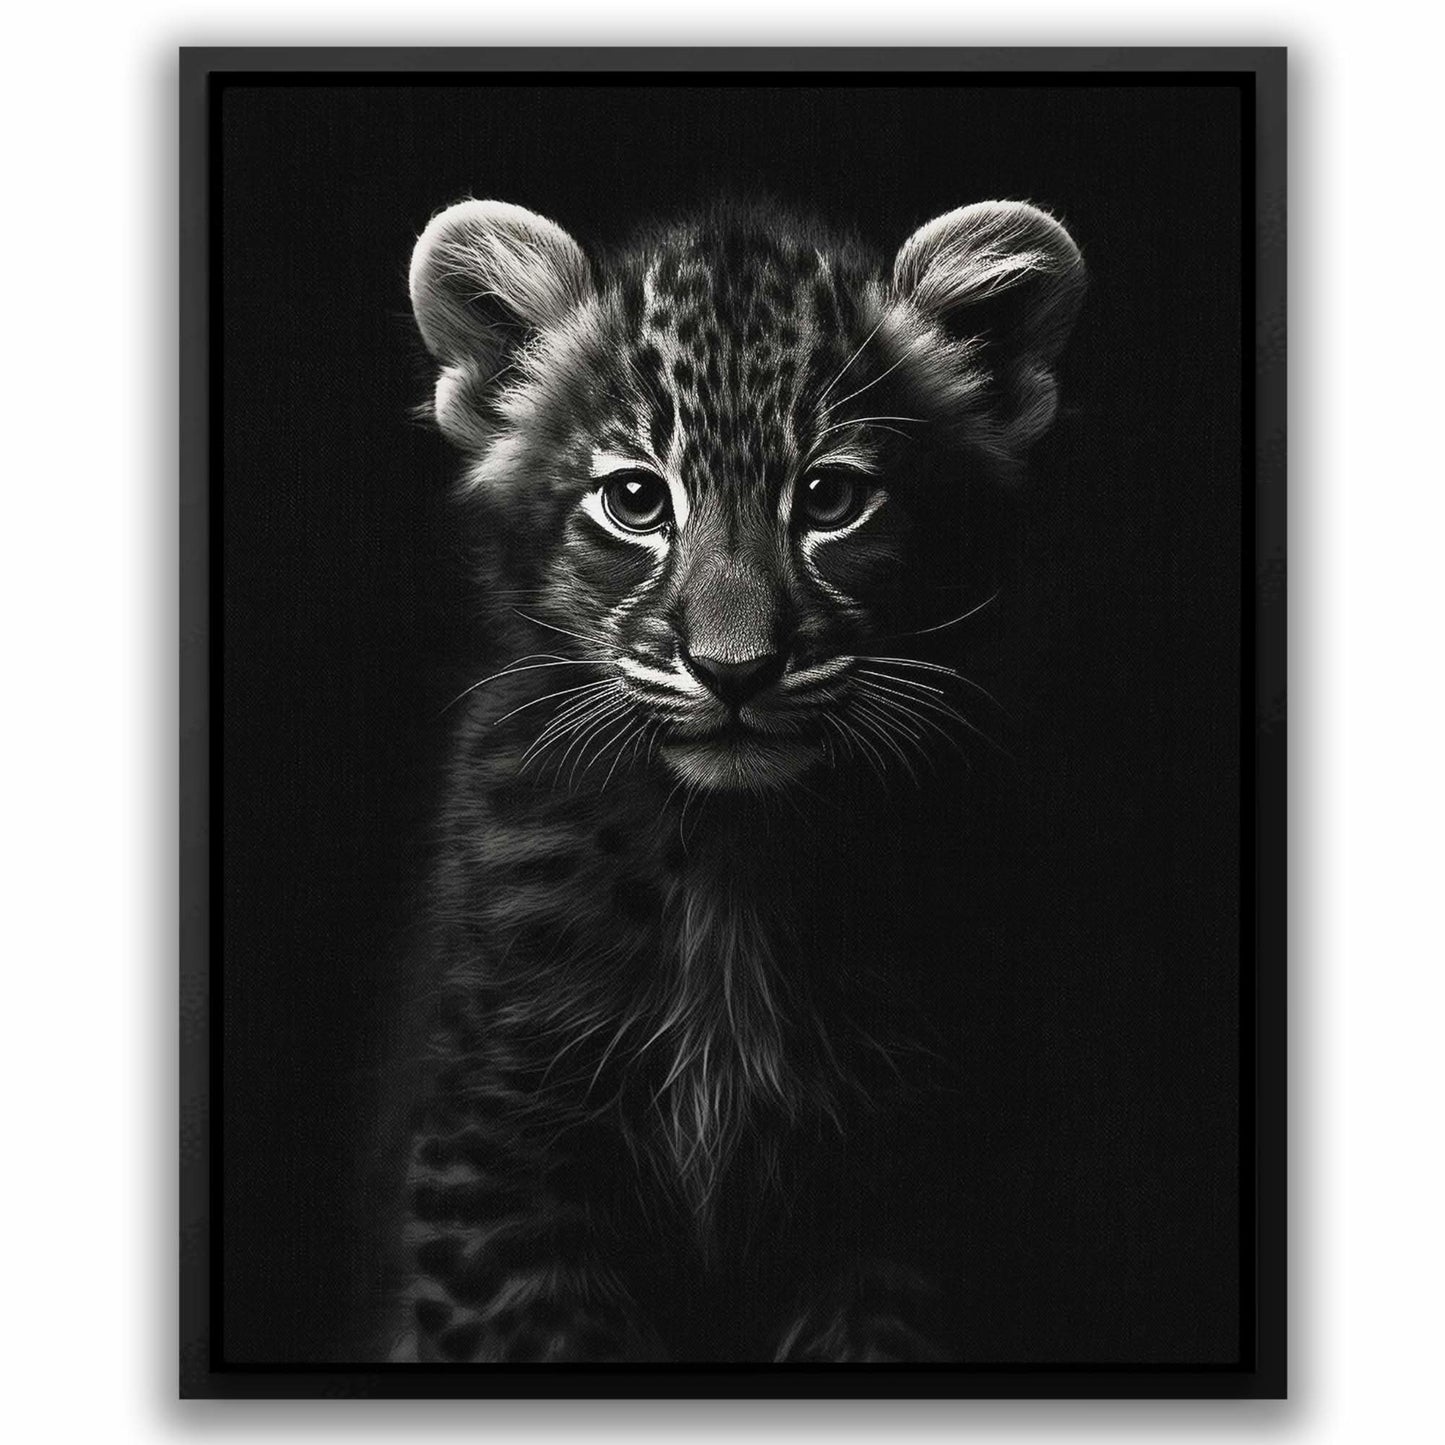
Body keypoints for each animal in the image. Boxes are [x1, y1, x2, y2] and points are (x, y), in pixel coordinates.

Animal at [384, 195, 1085, 1362]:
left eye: (832, 497)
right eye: (633, 500)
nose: (734, 669)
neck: (730, 858)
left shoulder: (909, 1178)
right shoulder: (502, 1147)